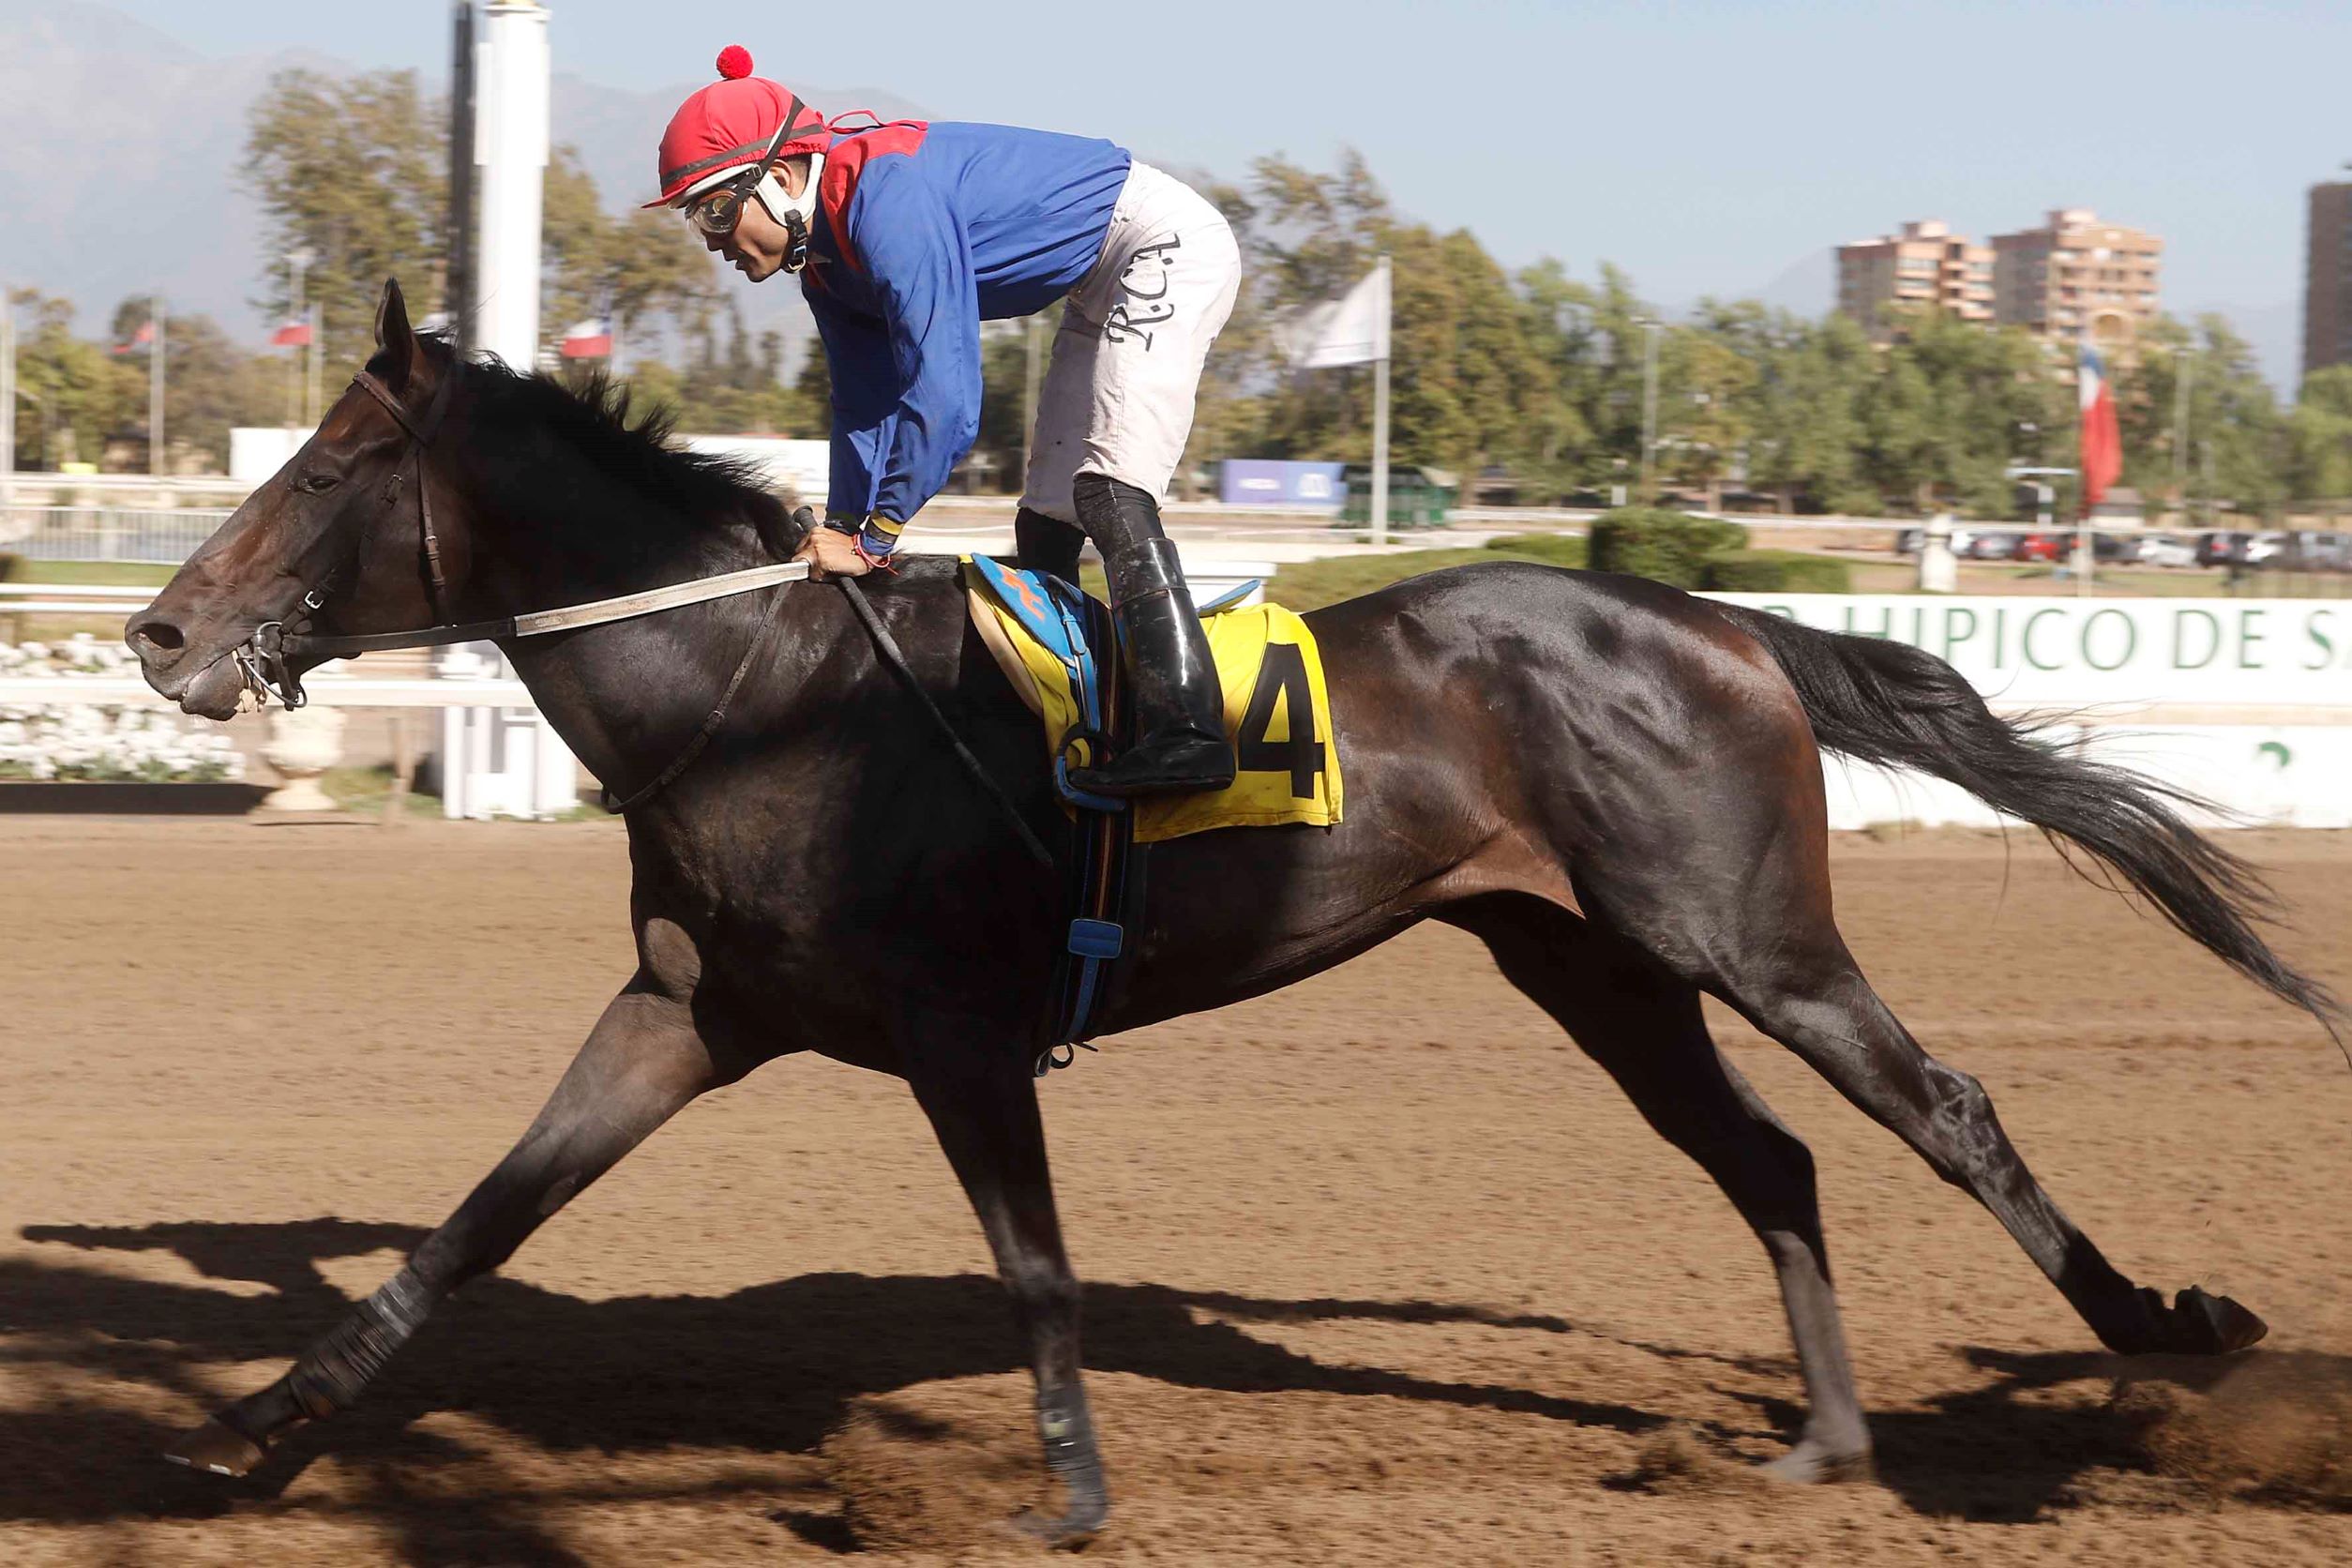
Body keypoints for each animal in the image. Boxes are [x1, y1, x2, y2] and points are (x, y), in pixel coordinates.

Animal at [124, 281, 2337, 1543]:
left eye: (323, 469)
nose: (155, 630)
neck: (757, 686)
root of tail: (1711, 616)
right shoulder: (690, 1006)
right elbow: (474, 1219)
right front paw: (254, 1438)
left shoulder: (959, 1034)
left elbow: (1034, 1266)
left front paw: (1075, 1491)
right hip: (1592, 962)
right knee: (1770, 1157)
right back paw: (1825, 1448)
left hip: (1745, 935)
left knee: (1940, 1106)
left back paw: (2164, 1340)